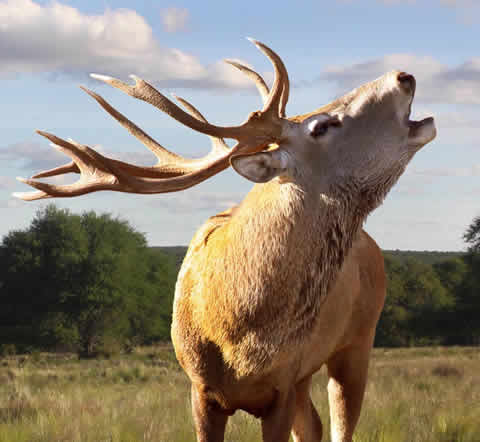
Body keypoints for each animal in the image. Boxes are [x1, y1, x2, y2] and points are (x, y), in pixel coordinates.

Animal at [15, 39, 436, 440]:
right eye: (321, 126)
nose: (403, 75)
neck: (238, 332)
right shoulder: (201, 389)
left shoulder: (284, 383)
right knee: (314, 426)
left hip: (359, 338)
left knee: (337, 426)